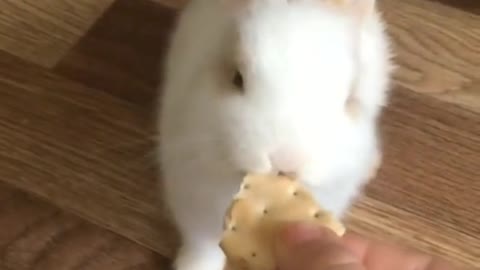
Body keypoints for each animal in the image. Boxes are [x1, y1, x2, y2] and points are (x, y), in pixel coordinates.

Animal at [158, 0, 394, 268]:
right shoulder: (192, 202)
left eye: (349, 98)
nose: (286, 161)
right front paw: (193, 266)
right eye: (237, 78)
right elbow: (202, 246)